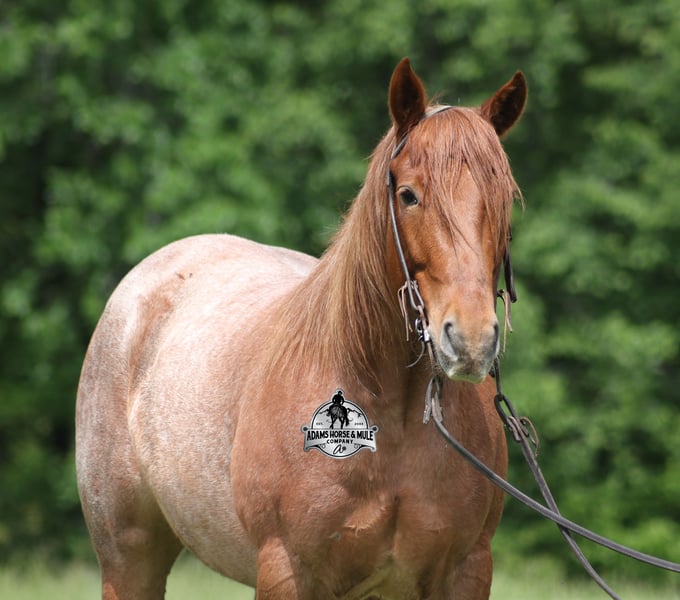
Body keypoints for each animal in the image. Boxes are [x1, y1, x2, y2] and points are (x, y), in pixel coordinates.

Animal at [76, 57, 527, 600]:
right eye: (409, 195)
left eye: (504, 199)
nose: (471, 340)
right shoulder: (286, 570)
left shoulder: (465, 571)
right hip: (129, 560)